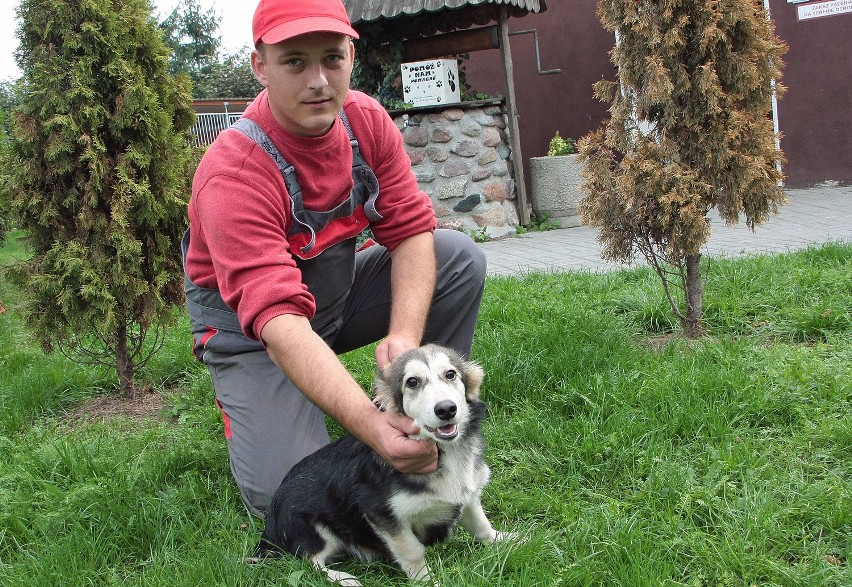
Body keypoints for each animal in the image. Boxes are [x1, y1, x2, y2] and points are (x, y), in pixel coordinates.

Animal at [251, 344, 506, 587]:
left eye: (451, 374)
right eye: (412, 382)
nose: (446, 409)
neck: (447, 452)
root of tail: (270, 522)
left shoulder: (469, 496)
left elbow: (481, 525)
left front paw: (505, 540)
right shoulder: (382, 514)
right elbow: (413, 552)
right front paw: (427, 582)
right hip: (312, 529)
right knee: (309, 562)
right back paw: (344, 579)